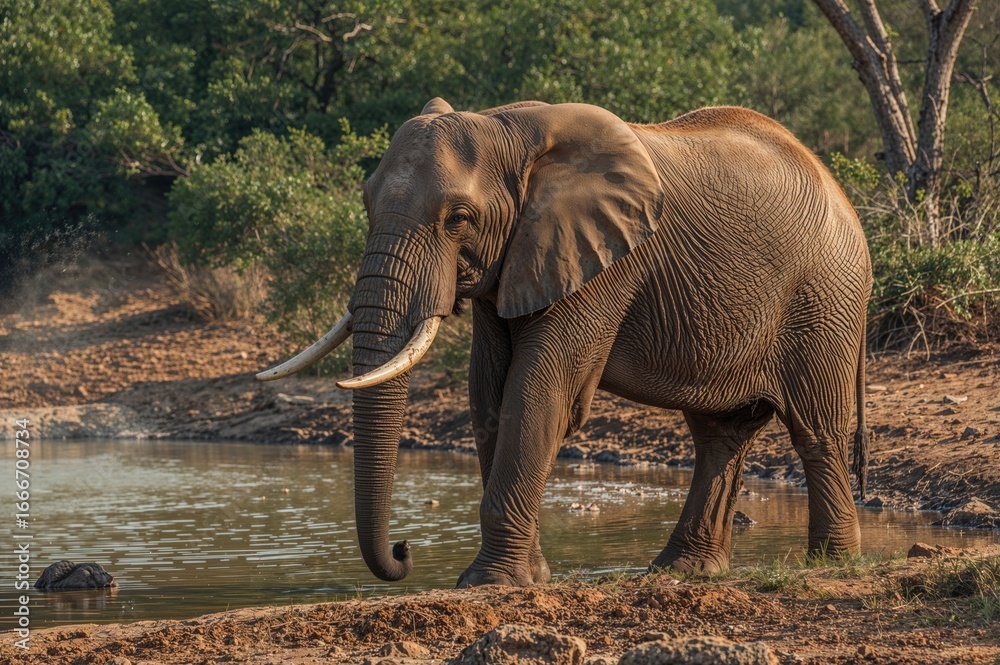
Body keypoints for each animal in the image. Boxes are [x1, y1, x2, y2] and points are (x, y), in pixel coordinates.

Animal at [257, 98, 872, 587]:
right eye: (366, 203)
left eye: (459, 218)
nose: (405, 549)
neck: (507, 129)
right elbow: (490, 395)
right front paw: (529, 578)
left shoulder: (605, 262)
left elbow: (538, 391)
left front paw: (488, 583)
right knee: (720, 436)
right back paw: (682, 569)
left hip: (824, 302)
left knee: (815, 429)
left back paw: (831, 564)